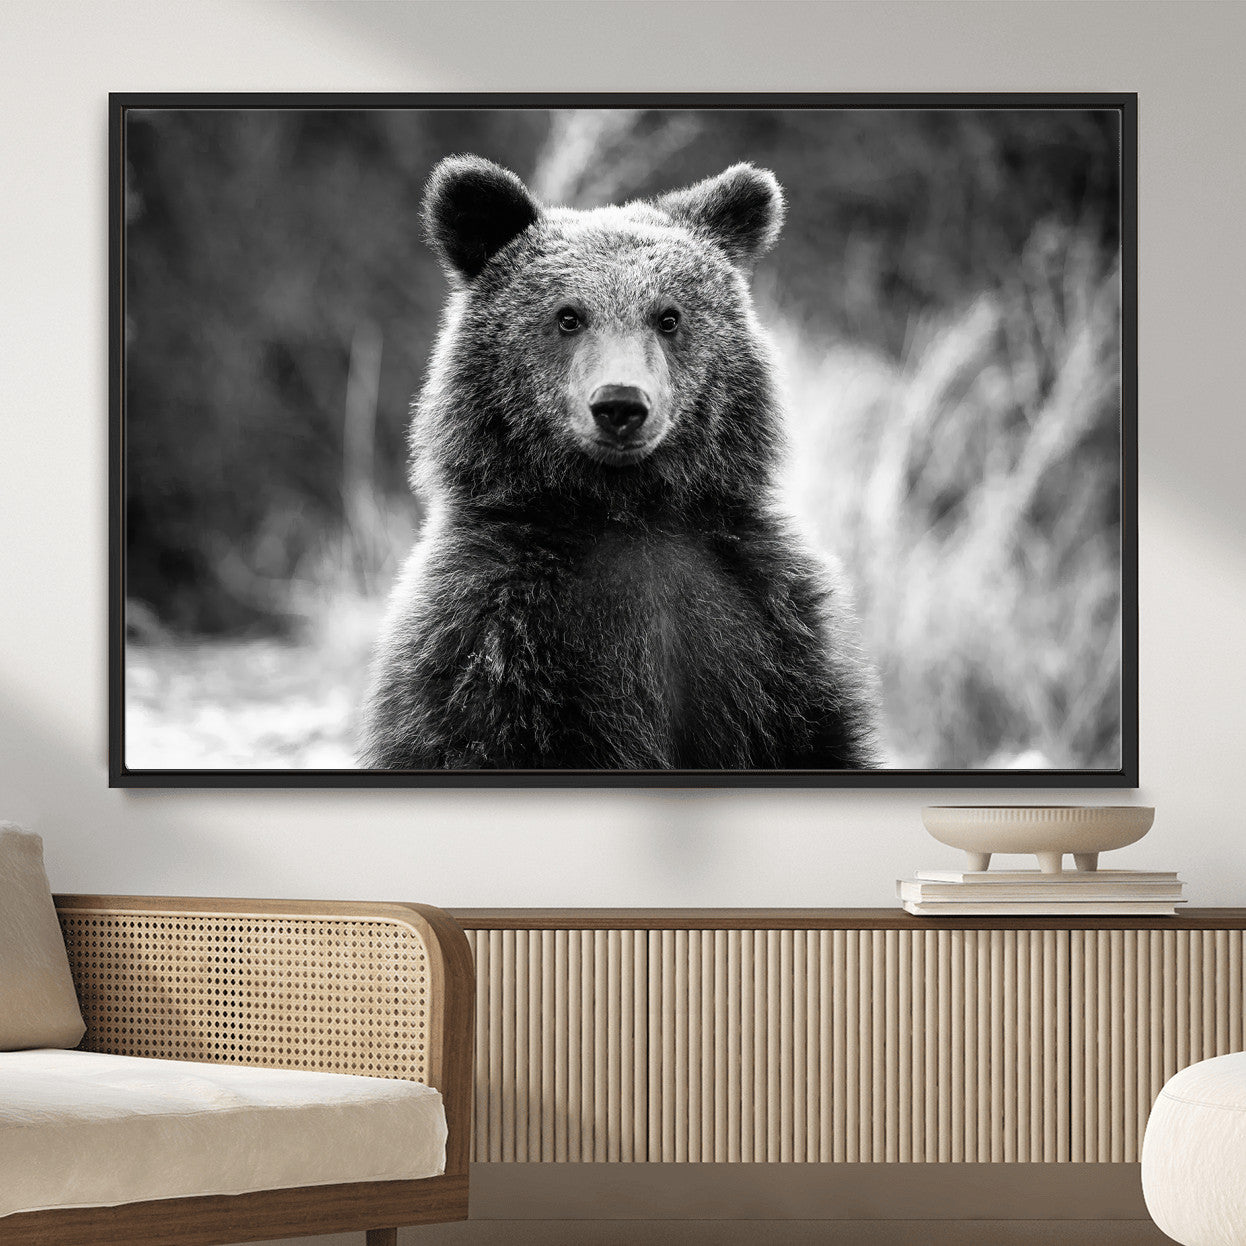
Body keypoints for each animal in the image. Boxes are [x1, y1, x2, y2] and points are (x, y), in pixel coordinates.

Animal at [358, 155, 879, 771]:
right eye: (568, 316)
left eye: (668, 317)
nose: (620, 405)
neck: (628, 511)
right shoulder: (490, 639)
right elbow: (466, 735)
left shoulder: (767, 628)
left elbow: (814, 735)